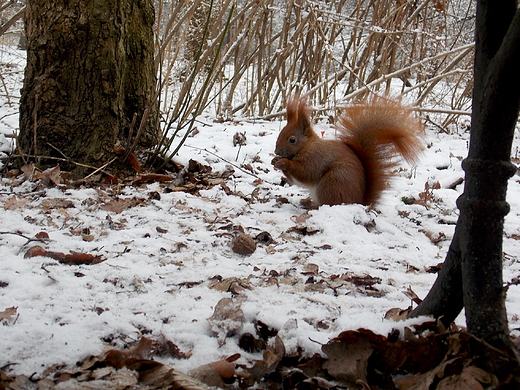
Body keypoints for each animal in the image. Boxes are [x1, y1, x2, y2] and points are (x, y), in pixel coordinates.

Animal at [272, 95, 422, 206]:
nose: (277, 152)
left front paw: (284, 163)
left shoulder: (316, 157)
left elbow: (305, 172)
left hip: (332, 183)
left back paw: (311, 206)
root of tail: (358, 202)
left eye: (292, 140)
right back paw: (306, 202)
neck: (307, 145)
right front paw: (275, 161)